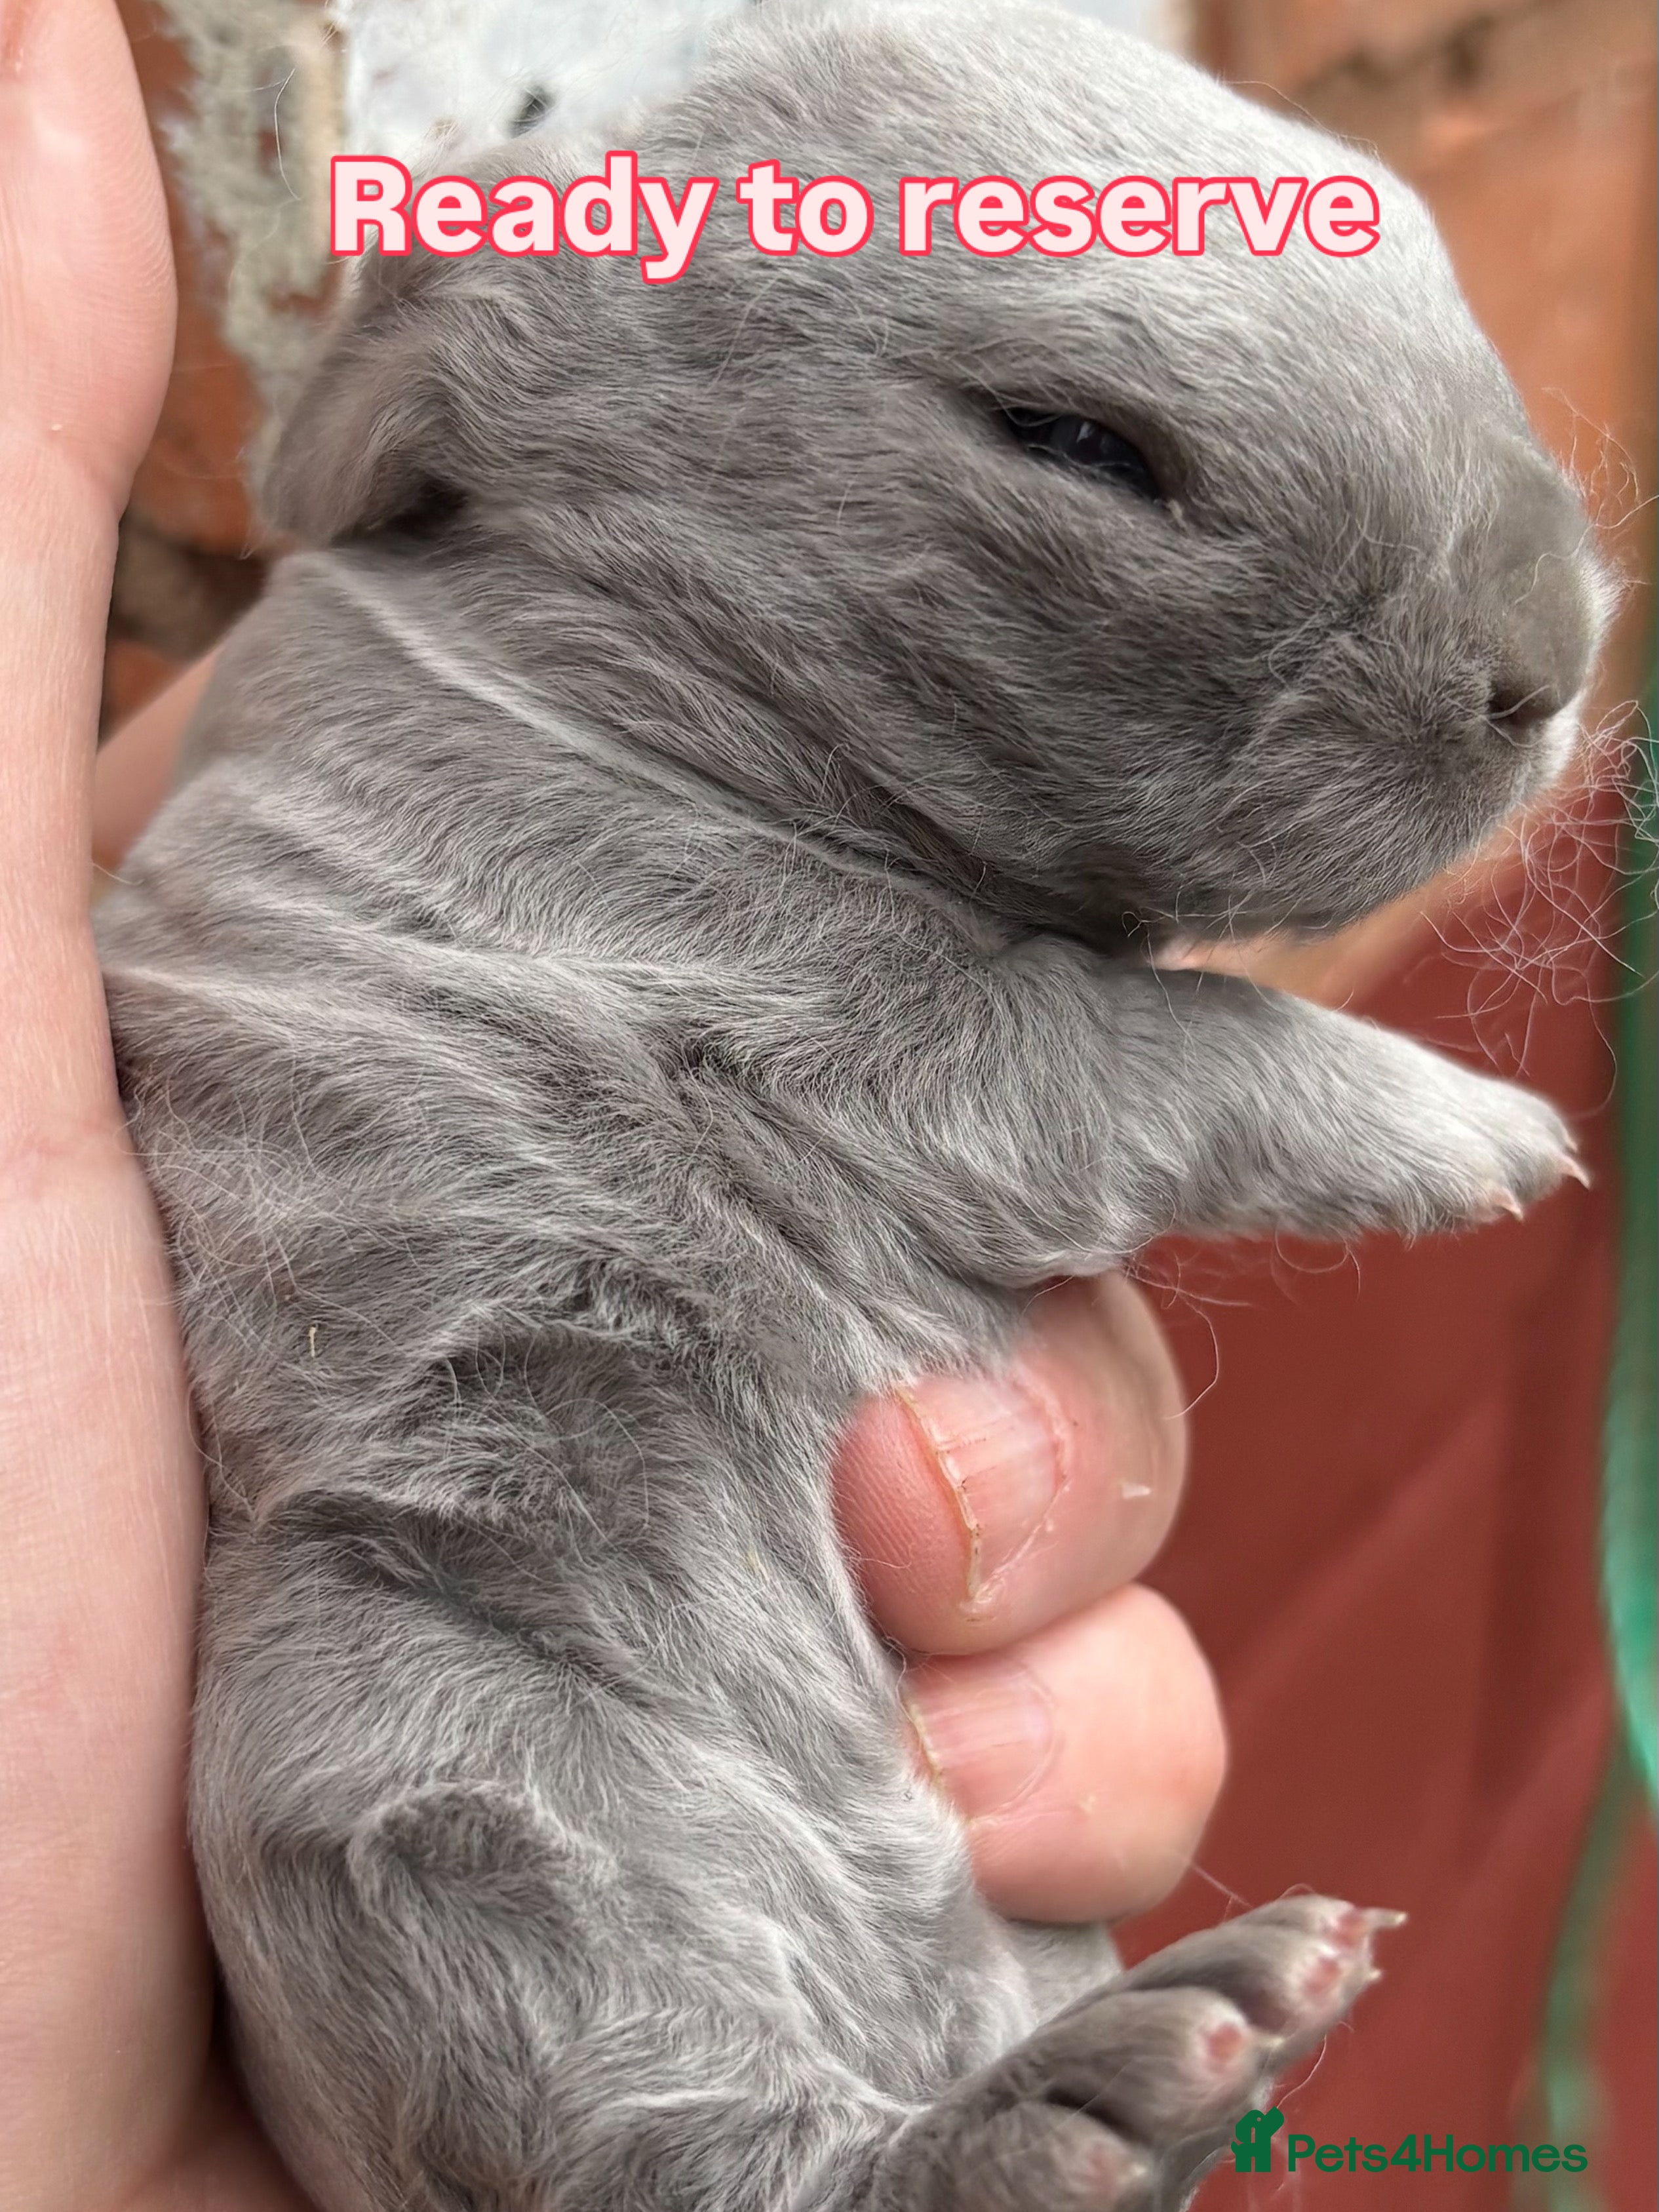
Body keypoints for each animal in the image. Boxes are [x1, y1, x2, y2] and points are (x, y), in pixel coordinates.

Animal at [94, 3, 1606, 2208]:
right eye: (1075, 443)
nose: (1548, 665)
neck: (643, 697)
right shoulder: (830, 1016)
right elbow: (1156, 1049)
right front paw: (1478, 1127)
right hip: (412, 1751)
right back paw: (1123, 2076)